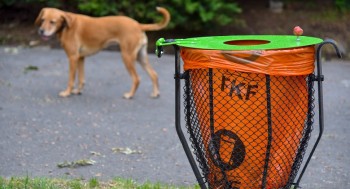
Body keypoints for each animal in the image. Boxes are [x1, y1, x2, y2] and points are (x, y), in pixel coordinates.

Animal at [34, 7, 170, 99]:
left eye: (52, 22)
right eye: (42, 20)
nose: (41, 31)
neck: (67, 25)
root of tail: (138, 25)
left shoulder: (72, 58)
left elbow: (71, 79)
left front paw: (67, 92)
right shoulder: (80, 58)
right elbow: (81, 79)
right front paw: (77, 91)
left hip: (127, 57)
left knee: (137, 79)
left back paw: (130, 95)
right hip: (140, 58)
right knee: (154, 74)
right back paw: (155, 93)